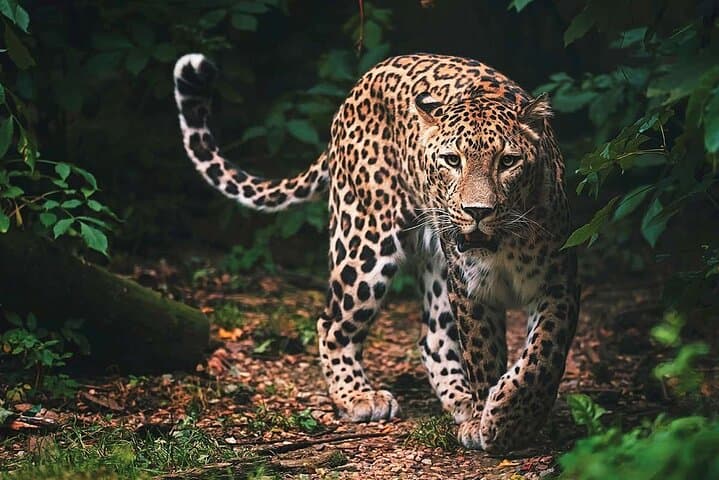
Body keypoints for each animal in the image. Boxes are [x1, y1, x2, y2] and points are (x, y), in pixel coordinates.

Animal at [173, 52, 579, 452]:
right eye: (452, 160)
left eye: (508, 161)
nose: (477, 211)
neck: (503, 244)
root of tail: (362, 83)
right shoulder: (470, 290)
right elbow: (483, 356)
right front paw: (492, 422)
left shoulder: (558, 282)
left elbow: (542, 357)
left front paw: (509, 418)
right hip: (364, 244)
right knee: (331, 323)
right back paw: (359, 397)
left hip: (434, 264)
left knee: (432, 337)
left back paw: (460, 402)